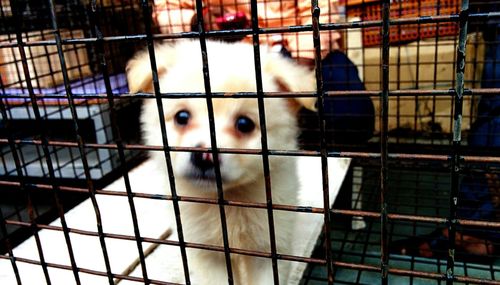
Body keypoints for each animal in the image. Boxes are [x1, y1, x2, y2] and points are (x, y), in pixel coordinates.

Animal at [128, 40, 316, 284]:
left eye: (244, 124)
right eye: (181, 117)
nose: (203, 156)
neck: (227, 200)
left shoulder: (269, 248)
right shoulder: (207, 252)